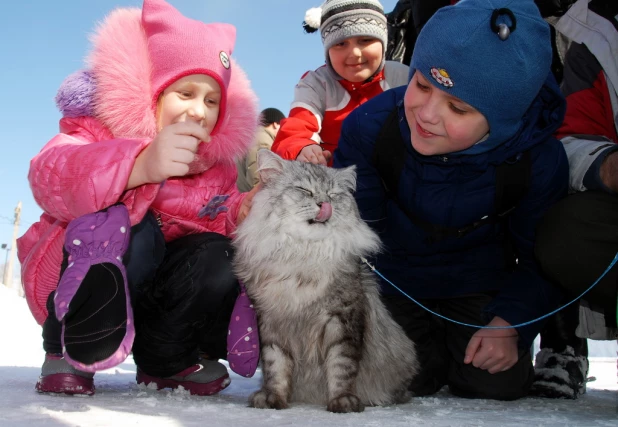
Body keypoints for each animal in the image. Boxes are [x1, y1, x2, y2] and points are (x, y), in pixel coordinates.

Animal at [232, 151, 418, 414]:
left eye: (332, 194)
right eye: (304, 190)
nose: (324, 205)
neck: (304, 255)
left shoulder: (343, 319)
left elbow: (341, 367)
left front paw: (343, 402)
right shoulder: (271, 323)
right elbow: (275, 367)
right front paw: (272, 399)